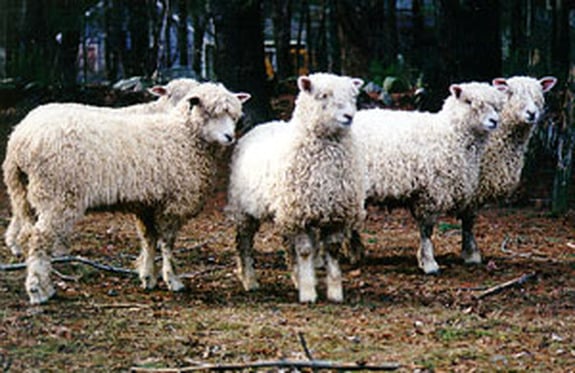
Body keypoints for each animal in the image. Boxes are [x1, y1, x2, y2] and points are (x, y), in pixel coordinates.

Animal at [226, 72, 364, 302]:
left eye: (353, 96)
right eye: (323, 95)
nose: (349, 116)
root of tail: (263, 125)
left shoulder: (336, 213)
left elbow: (332, 250)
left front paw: (335, 292)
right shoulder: (300, 213)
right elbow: (306, 251)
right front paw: (308, 293)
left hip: (285, 209)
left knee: (287, 245)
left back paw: (296, 278)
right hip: (245, 210)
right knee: (243, 243)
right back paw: (250, 280)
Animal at [348, 81, 506, 274]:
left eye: (496, 106)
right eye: (468, 101)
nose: (494, 121)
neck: (449, 134)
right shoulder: (430, 192)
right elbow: (427, 230)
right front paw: (429, 263)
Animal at [456, 75, 556, 264]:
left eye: (539, 93)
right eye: (510, 93)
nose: (532, 113)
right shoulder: (472, 188)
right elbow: (468, 220)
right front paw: (471, 254)